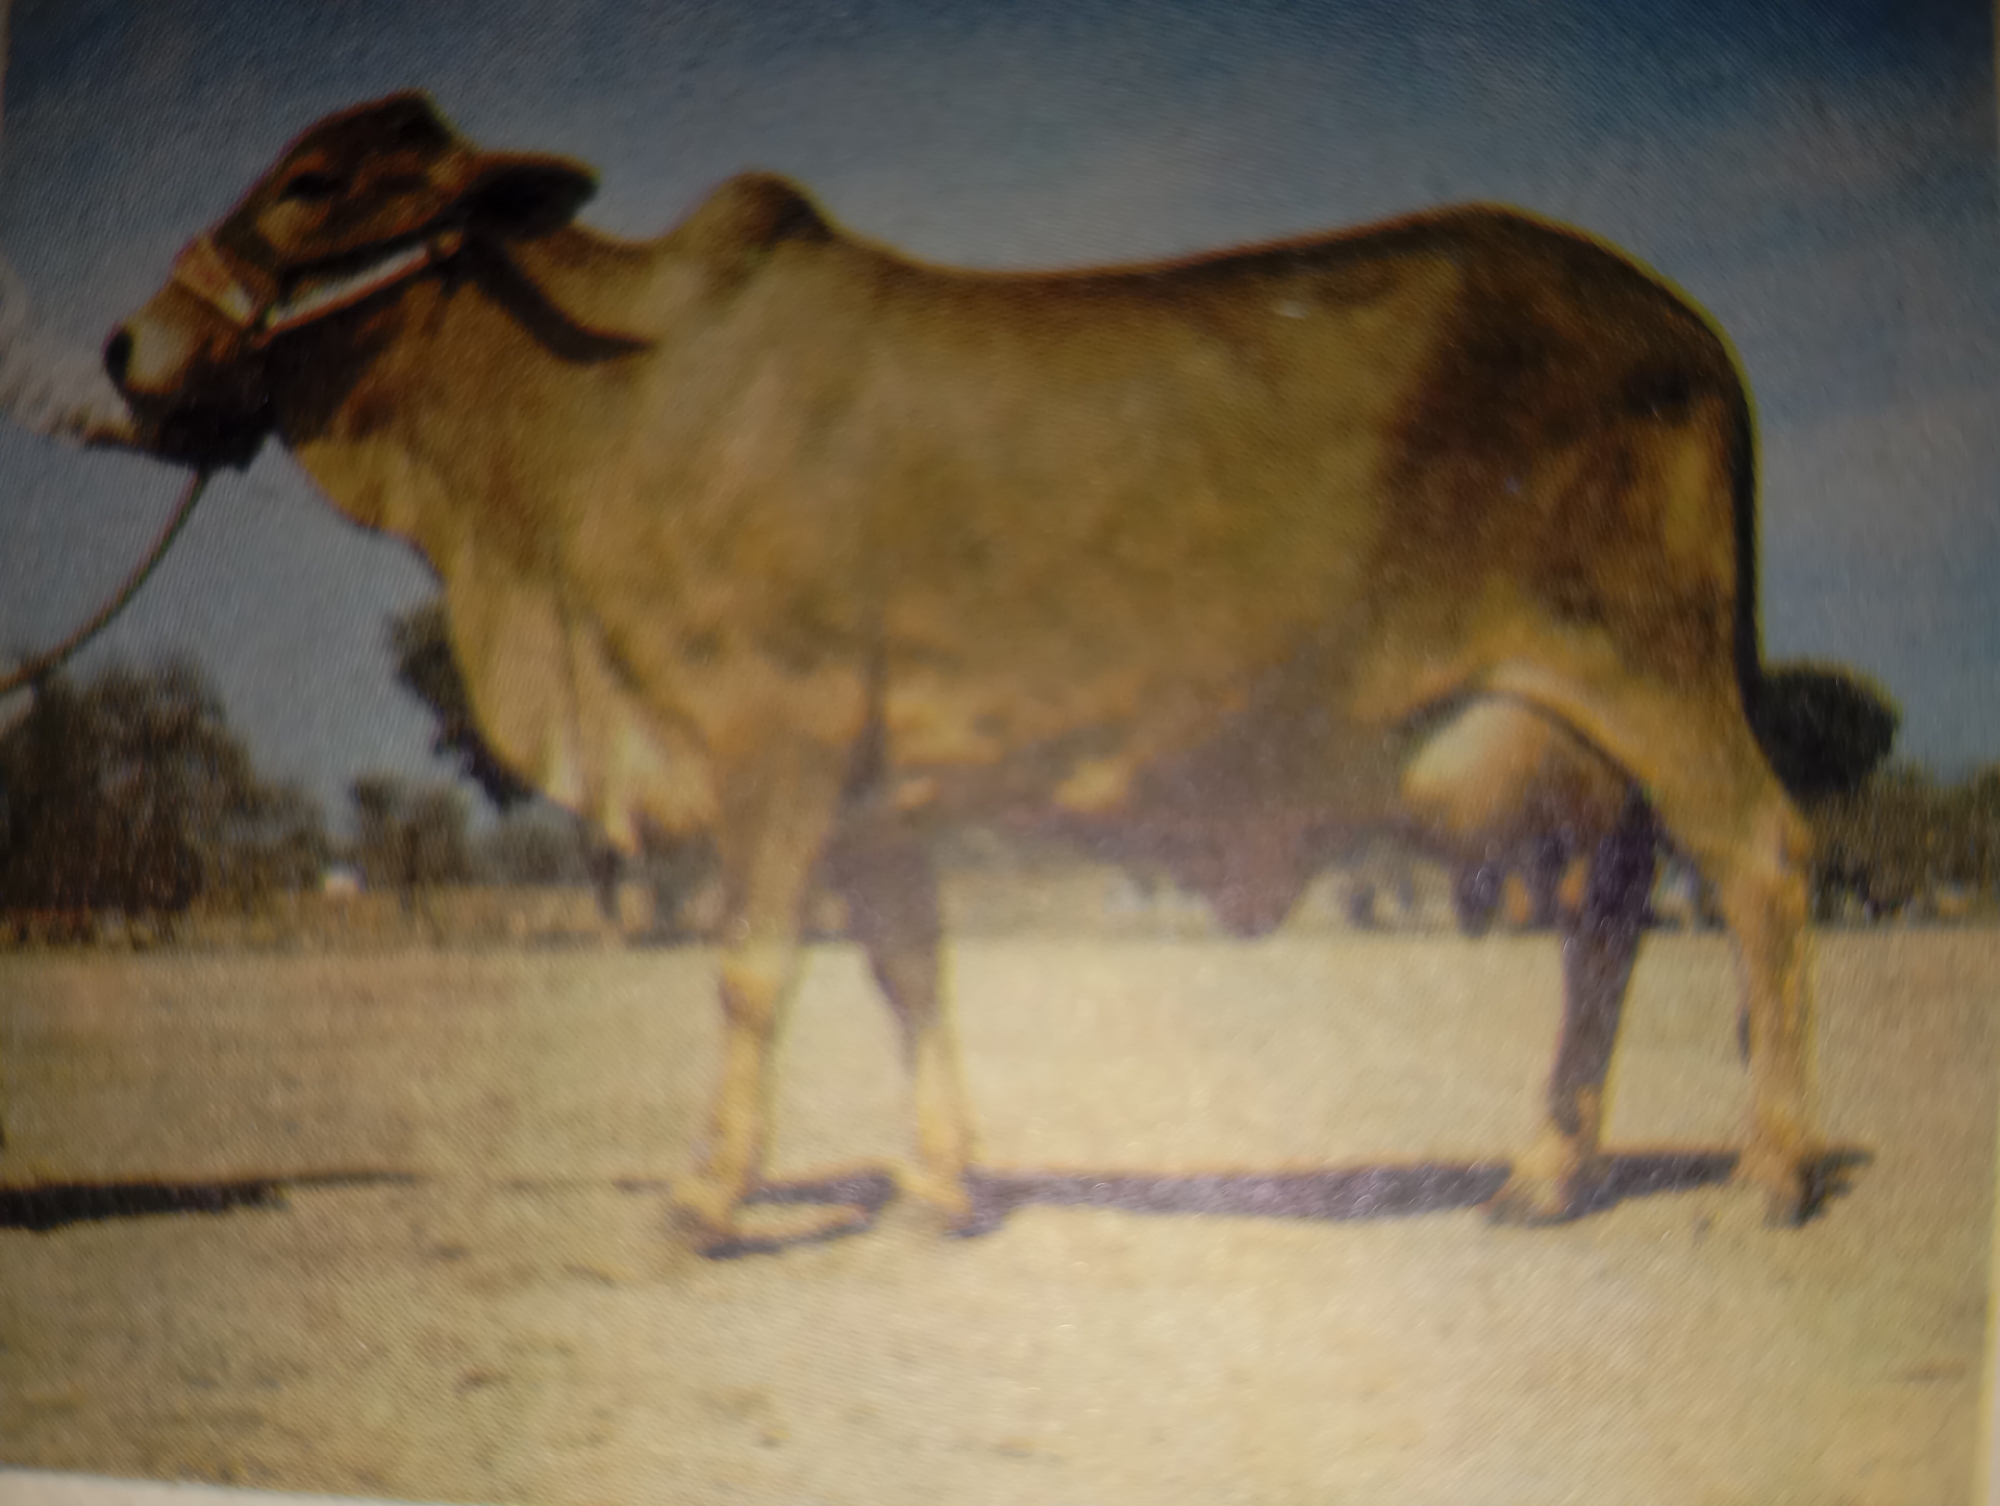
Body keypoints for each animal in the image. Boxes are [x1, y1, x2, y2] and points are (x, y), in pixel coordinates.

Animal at [77, 92, 1895, 1253]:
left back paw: (1765, 1175)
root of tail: (1681, 321)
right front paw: (943, 1188)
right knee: (1609, 913)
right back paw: (1544, 1173)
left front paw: (709, 1198)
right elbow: (910, 972)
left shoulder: (781, 735)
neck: (593, 424)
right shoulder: (877, 794)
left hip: (1649, 669)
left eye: (313, 186)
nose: (125, 344)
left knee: (1762, 862)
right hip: (1572, 731)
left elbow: (753, 973)